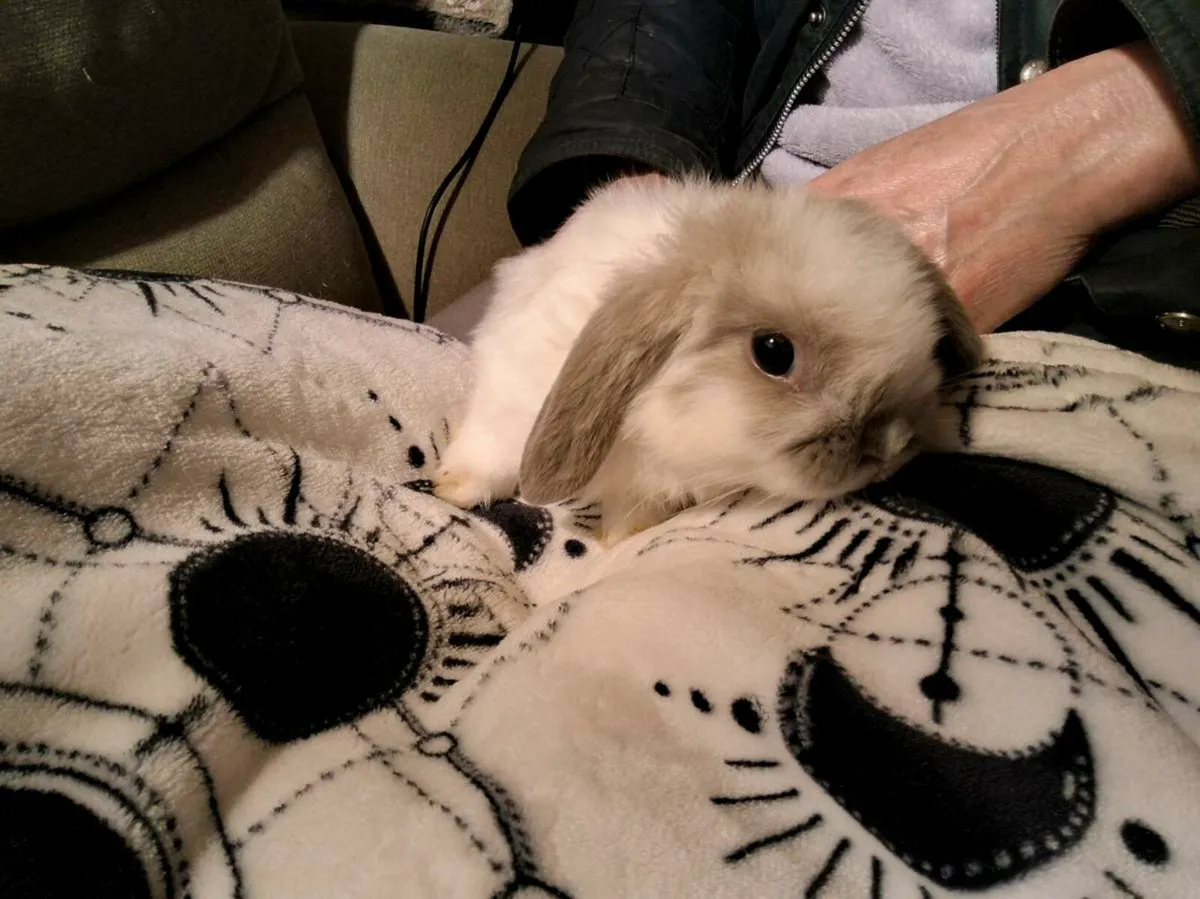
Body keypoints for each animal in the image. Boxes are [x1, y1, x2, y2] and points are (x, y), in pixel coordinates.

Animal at [434, 174, 982, 544]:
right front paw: (451, 488)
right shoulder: (513, 388)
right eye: (773, 352)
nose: (888, 447)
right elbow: (491, 449)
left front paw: (627, 535)